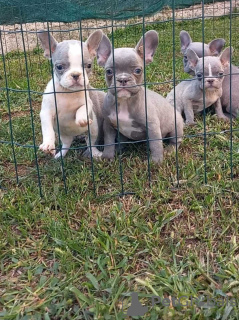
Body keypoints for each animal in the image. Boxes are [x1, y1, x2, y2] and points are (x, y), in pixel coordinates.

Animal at [37, 29, 104, 159]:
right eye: (59, 67)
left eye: (89, 65)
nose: (76, 74)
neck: (67, 92)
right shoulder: (46, 111)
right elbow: (47, 128)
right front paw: (48, 144)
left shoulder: (88, 103)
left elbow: (82, 108)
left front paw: (81, 119)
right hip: (64, 135)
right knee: (66, 145)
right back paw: (60, 155)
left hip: (93, 129)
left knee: (91, 144)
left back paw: (96, 154)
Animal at [95, 30, 183, 164]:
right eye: (109, 72)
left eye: (137, 70)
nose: (123, 79)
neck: (125, 101)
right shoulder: (108, 125)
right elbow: (109, 142)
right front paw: (107, 156)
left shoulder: (152, 126)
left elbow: (155, 144)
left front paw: (156, 162)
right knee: (121, 140)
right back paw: (119, 149)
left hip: (176, 126)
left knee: (175, 140)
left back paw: (170, 149)